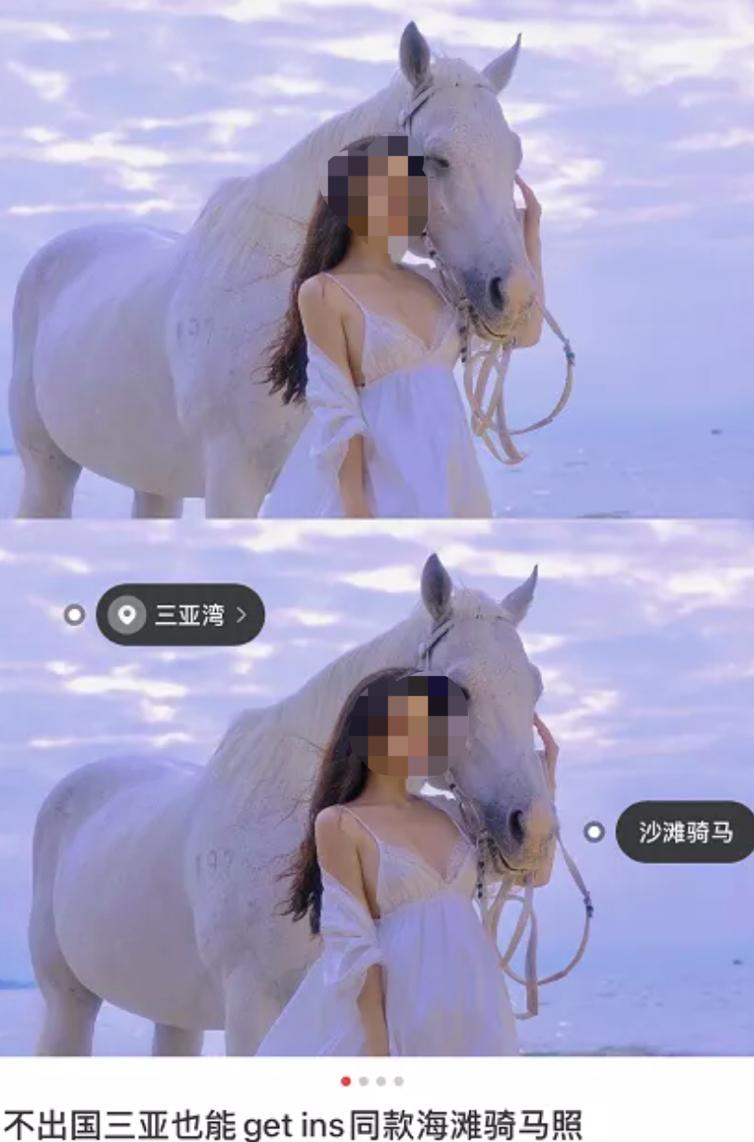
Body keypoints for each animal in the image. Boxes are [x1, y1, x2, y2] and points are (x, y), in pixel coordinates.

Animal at [10, 21, 534, 518]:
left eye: (514, 153)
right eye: (437, 158)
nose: (515, 294)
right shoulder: (232, 481)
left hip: (155, 483)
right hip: (47, 468)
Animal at [29, 553, 554, 1054]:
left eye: (535, 686)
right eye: (456, 689)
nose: (533, 831)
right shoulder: (251, 1005)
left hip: (175, 1017)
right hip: (68, 1000)